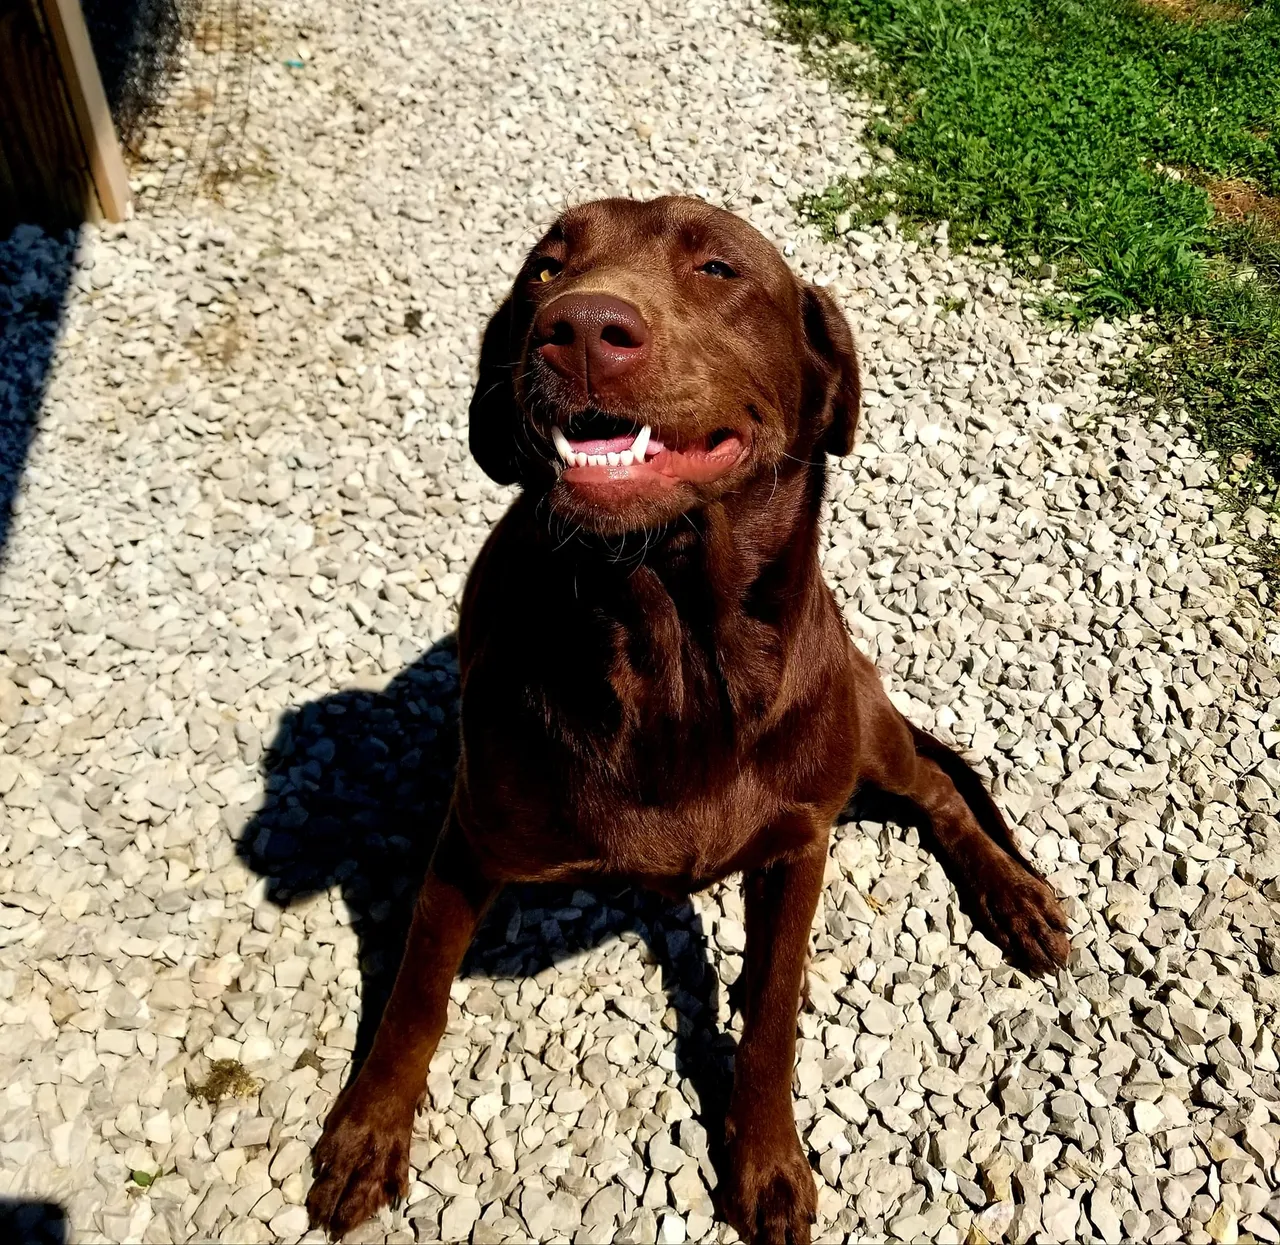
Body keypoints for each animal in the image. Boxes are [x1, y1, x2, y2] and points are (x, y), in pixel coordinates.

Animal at [302, 199, 1070, 1238]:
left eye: (718, 267)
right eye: (544, 269)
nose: (582, 327)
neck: (674, 651)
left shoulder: (800, 841)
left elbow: (775, 1008)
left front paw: (766, 1158)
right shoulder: (470, 839)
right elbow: (419, 987)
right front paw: (369, 1128)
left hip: (862, 728)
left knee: (942, 789)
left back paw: (1014, 897)